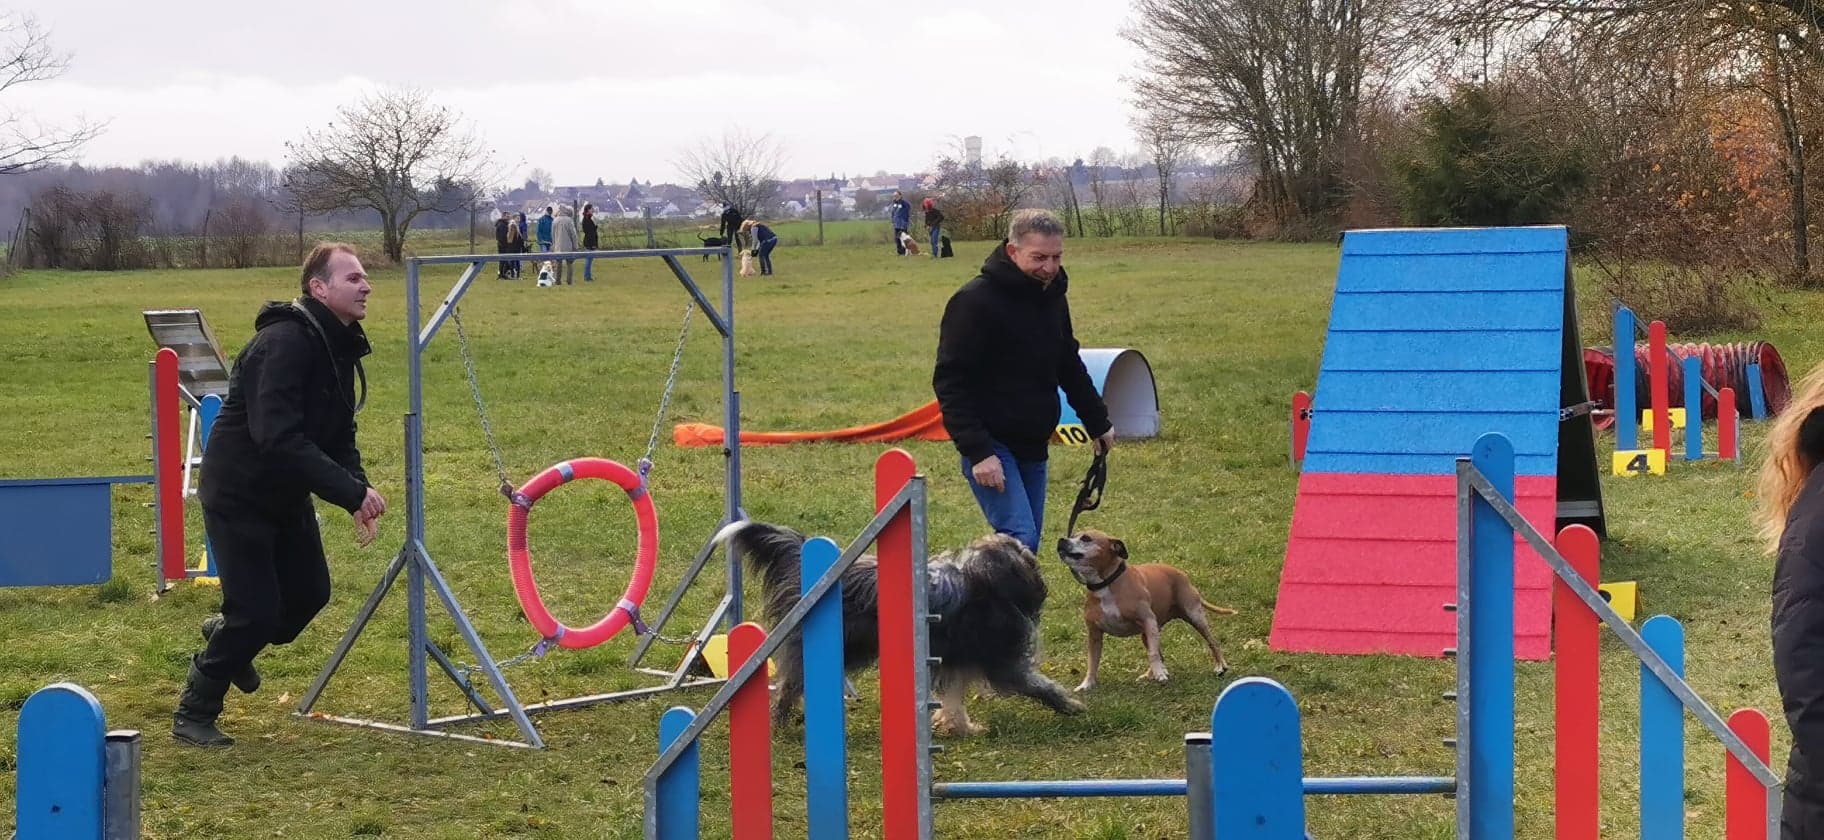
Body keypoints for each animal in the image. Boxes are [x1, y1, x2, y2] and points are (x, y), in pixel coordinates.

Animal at [715, 517, 1079, 732]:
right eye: (1021, 552)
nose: (1031, 553)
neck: (984, 582)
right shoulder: (1000, 660)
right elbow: (1038, 684)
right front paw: (1070, 705)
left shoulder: (954, 660)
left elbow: (953, 698)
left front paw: (960, 726)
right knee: (792, 682)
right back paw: (780, 720)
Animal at [1057, 532, 1240, 688]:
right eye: (1072, 535)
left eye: (1086, 538)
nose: (1062, 540)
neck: (1106, 583)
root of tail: (1182, 574)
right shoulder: (1094, 634)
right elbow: (1092, 661)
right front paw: (1087, 684)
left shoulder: (1147, 620)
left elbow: (1153, 654)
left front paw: (1159, 673)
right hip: (1148, 633)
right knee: (1160, 653)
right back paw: (1150, 674)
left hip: (1194, 616)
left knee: (1212, 642)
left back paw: (1220, 666)